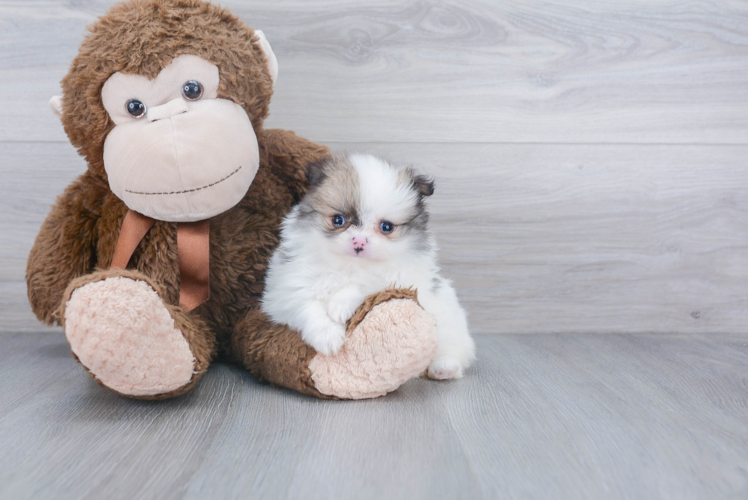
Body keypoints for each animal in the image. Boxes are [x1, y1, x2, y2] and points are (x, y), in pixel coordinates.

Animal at [260, 152, 476, 378]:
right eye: (338, 220)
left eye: (386, 227)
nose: (359, 241)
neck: (350, 266)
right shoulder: (286, 289)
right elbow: (307, 307)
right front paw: (328, 337)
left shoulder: (402, 280)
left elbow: (366, 284)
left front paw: (340, 304)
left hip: (449, 321)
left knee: (453, 349)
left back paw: (444, 368)